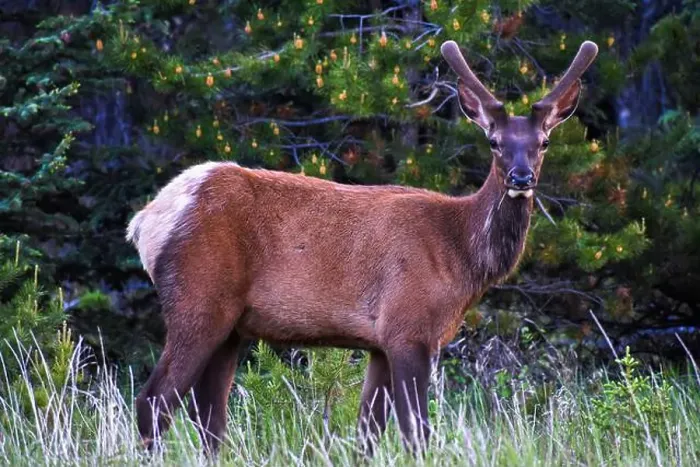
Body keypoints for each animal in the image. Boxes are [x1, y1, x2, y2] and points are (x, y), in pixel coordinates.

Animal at [126, 39, 598, 455]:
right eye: (494, 142)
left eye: (543, 143)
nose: (522, 178)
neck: (460, 256)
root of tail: (145, 221)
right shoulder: (409, 325)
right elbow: (416, 432)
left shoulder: (378, 342)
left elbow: (367, 433)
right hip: (199, 299)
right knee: (154, 401)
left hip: (231, 326)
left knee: (209, 416)